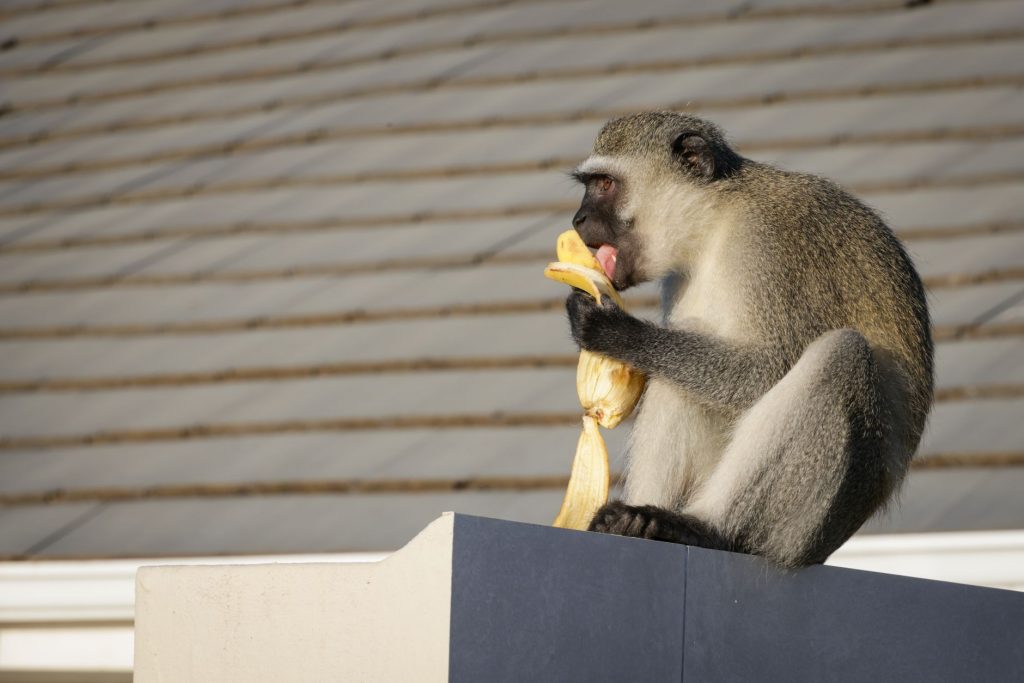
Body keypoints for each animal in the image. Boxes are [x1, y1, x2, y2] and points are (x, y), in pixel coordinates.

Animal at [565, 112, 933, 568]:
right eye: (590, 184)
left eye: (604, 184)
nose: (578, 220)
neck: (715, 222)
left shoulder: (770, 244)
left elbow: (768, 368)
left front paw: (614, 332)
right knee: (680, 381)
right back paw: (635, 521)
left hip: (803, 531)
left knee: (841, 357)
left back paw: (704, 528)